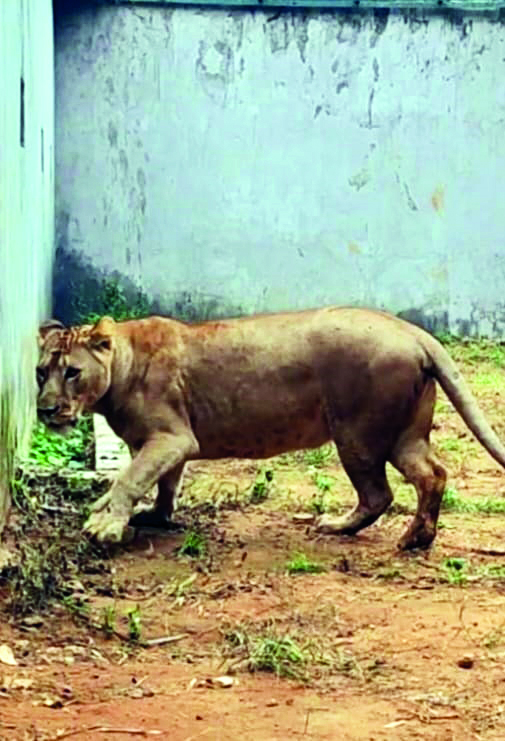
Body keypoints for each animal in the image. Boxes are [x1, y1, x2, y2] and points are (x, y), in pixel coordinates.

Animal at [36, 307, 505, 550]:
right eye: (42, 372)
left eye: (72, 372)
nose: (45, 409)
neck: (121, 365)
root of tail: (413, 331)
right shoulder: (166, 444)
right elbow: (165, 483)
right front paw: (156, 515)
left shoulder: (171, 437)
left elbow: (130, 479)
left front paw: (105, 525)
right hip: (403, 435)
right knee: (432, 474)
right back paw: (417, 537)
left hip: (357, 433)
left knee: (379, 494)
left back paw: (339, 527)